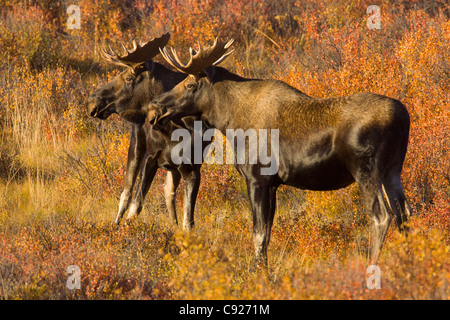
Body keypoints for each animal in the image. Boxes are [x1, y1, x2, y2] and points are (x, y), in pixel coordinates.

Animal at [86, 34, 207, 230]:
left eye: (129, 78)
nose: (91, 103)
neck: (174, 128)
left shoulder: (192, 168)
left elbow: (188, 219)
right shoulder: (151, 157)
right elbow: (136, 204)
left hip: (172, 167)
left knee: (168, 193)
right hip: (137, 146)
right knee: (126, 193)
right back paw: (116, 224)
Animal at [149, 38, 414, 266]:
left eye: (190, 84)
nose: (155, 106)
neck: (230, 121)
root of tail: (403, 118)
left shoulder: (257, 178)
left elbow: (257, 234)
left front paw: (258, 271)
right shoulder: (273, 184)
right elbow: (267, 233)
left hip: (367, 172)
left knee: (381, 216)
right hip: (392, 171)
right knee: (405, 214)